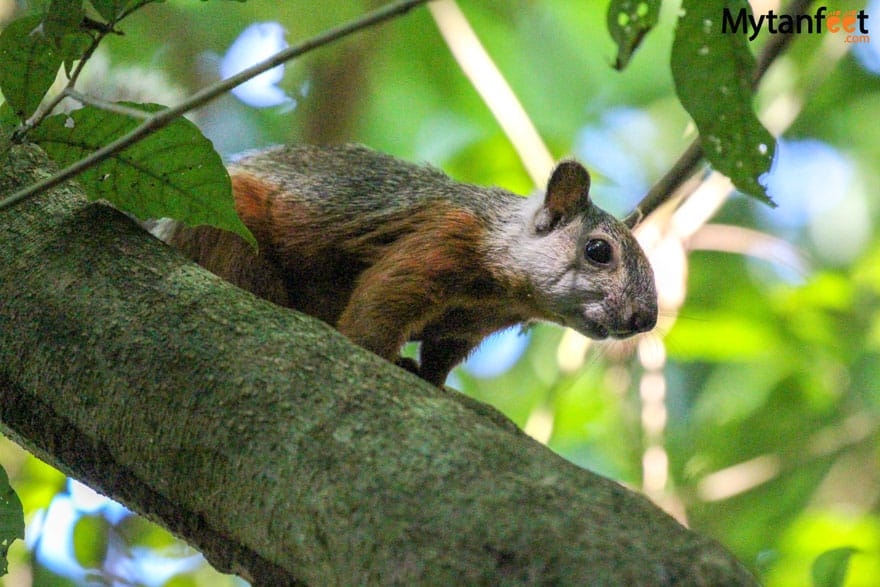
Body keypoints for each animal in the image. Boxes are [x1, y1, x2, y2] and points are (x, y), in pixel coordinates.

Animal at [156, 145, 652, 388]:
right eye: (598, 251)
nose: (644, 319)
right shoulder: (440, 239)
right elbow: (381, 303)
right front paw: (382, 355)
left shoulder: (469, 326)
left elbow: (441, 353)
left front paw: (432, 379)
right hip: (228, 224)